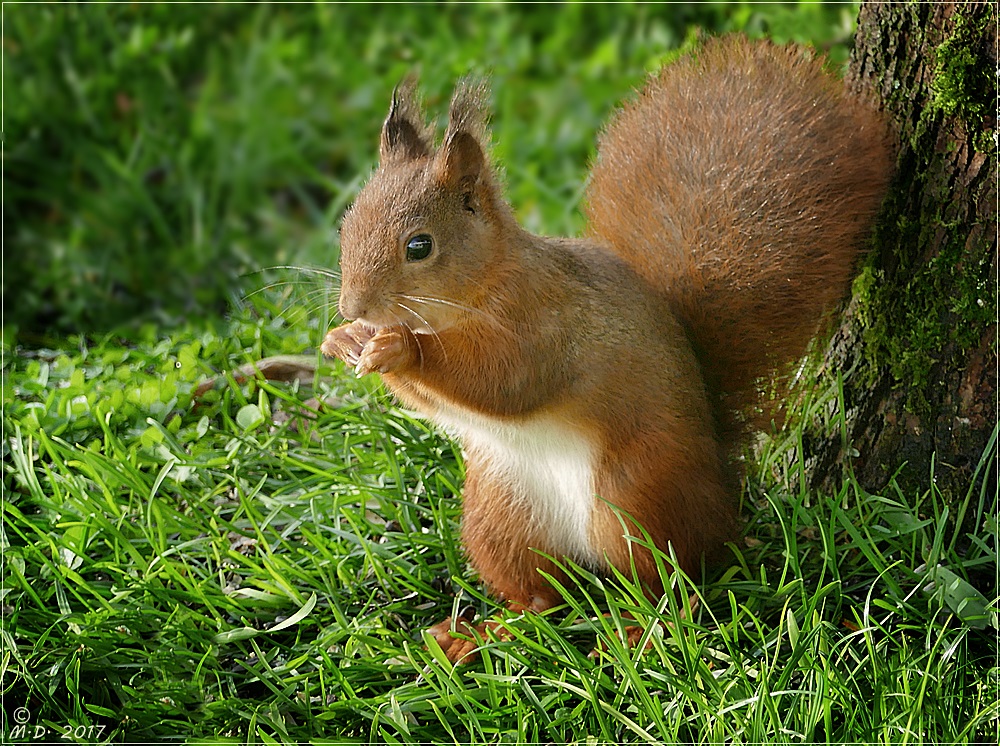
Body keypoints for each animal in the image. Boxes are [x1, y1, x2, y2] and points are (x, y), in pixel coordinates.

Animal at [320, 37, 892, 660]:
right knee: (544, 594)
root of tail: (721, 492)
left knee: (678, 579)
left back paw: (644, 630)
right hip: (503, 515)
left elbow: (505, 380)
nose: (353, 306)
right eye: (347, 225)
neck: (483, 284)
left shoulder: (547, 325)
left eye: (420, 246)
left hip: (636, 497)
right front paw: (344, 341)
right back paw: (484, 632)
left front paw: (401, 349)